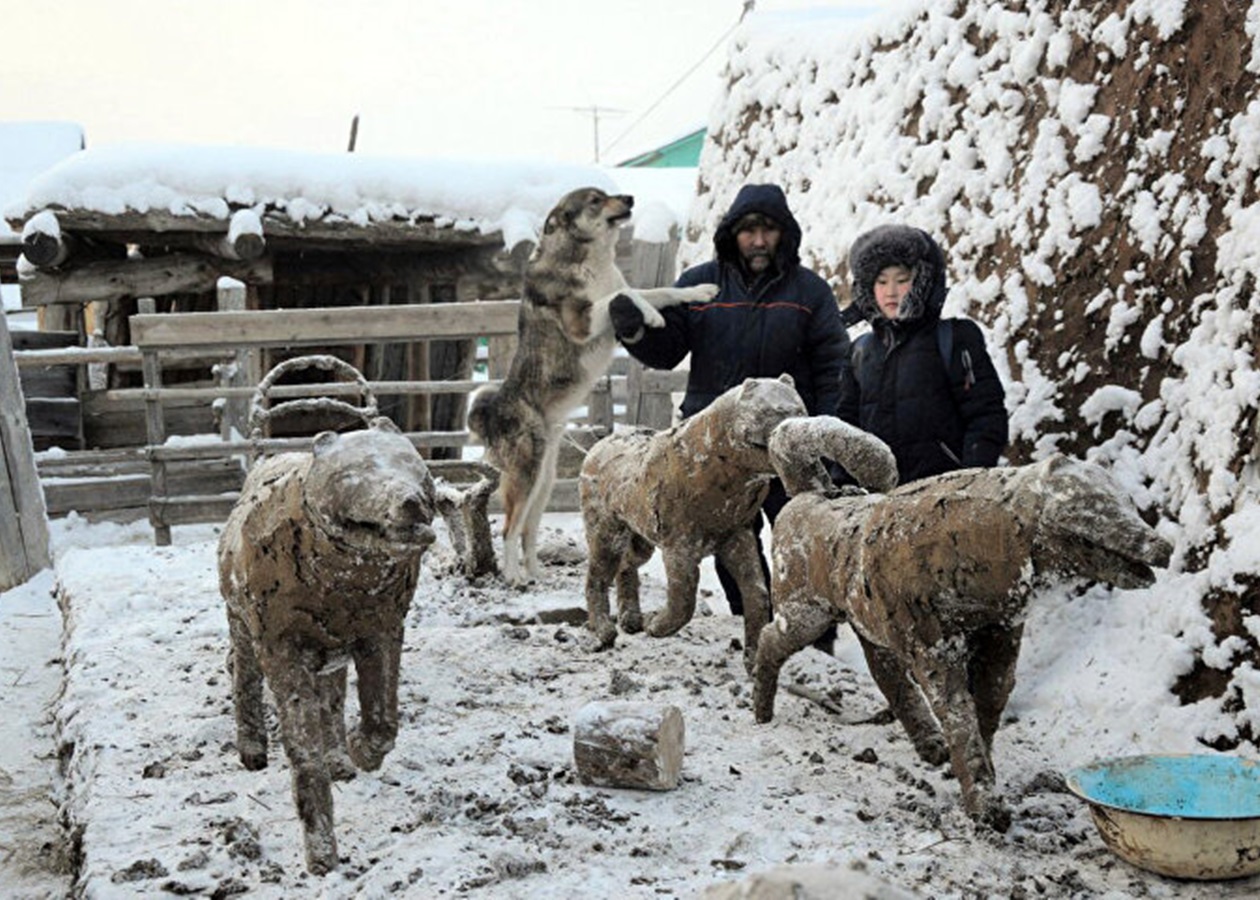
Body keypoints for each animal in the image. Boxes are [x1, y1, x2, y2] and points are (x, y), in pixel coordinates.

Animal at [468, 185, 720, 584]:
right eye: (595, 200)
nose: (630, 197)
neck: (592, 257)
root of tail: (492, 413)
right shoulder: (583, 322)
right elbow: (627, 295)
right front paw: (651, 315)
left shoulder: (618, 294)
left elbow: (658, 290)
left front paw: (699, 291)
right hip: (526, 474)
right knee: (509, 528)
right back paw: (513, 576)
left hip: (545, 479)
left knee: (527, 531)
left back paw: (536, 574)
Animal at [577, 375, 902, 670]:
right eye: (771, 412)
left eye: (799, 410)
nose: (791, 430)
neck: (711, 469)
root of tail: (596, 448)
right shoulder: (679, 546)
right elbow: (684, 602)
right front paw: (656, 625)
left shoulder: (737, 537)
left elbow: (757, 593)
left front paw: (751, 659)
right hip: (606, 532)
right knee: (597, 576)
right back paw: (604, 631)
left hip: (640, 539)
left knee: (626, 565)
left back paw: (630, 620)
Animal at [745, 451, 1169, 831]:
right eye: (1094, 504)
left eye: (1128, 501)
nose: (1162, 547)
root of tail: (808, 493)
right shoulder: (932, 644)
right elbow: (958, 710)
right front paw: (986, 810)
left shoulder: (1001, 633)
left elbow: (991, 703)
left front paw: (977, 774)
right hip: (807, 613)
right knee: (770, 637)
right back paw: (761, 710)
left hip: (867, 625)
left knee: (887, 676)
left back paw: (931, 747)